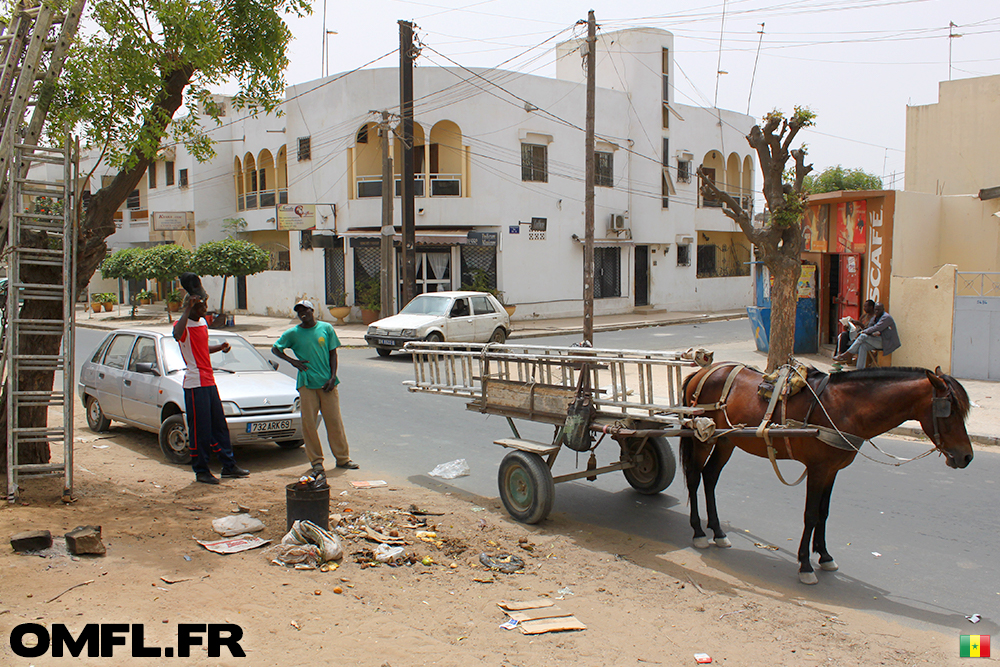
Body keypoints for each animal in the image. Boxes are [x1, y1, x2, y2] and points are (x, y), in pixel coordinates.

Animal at [676, 366, 972, 584]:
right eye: (949, 411)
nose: (966, 457)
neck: (845, 407)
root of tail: (702, 372)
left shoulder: (831, 470)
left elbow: (824, 512)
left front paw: (825, 555)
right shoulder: (818, 469)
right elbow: (810, 514)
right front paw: (806, 565)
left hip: (726, 439)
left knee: (710, 477)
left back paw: (717, 531)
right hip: (702, 436)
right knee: (694, 477)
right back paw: (698, 531)